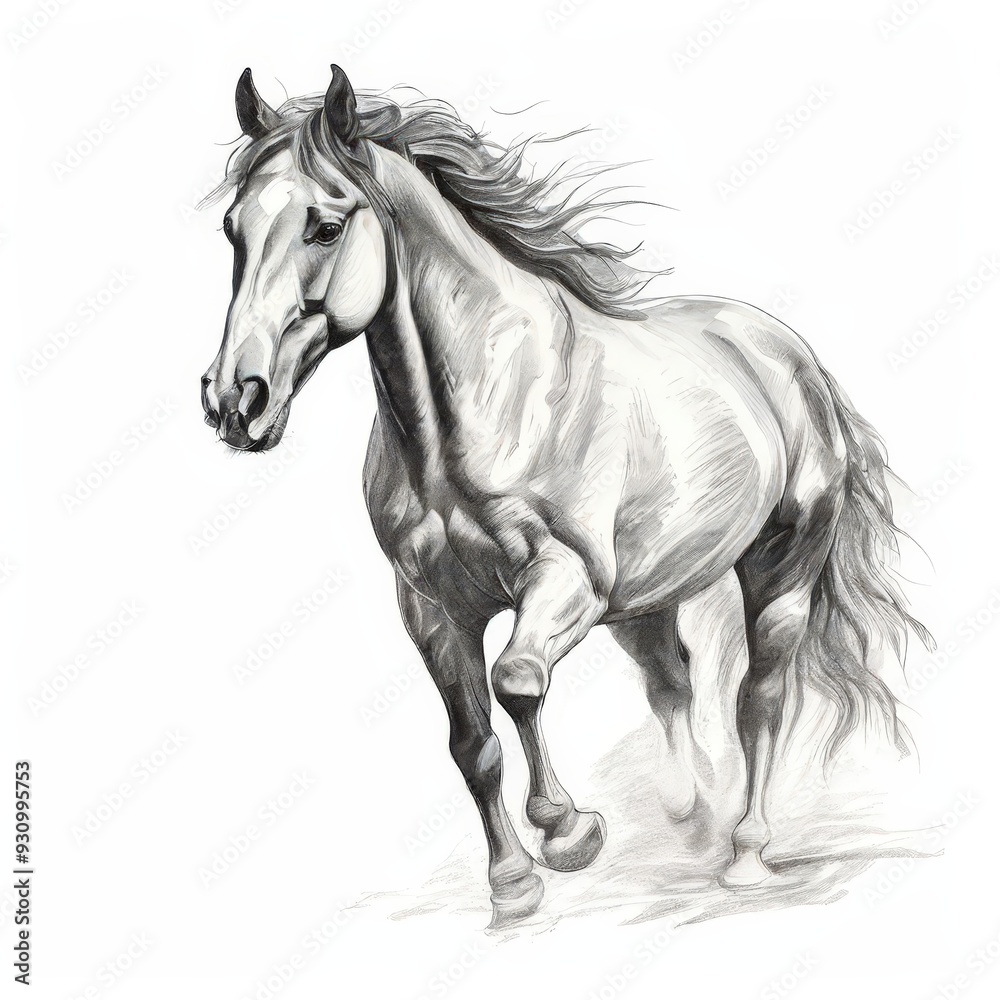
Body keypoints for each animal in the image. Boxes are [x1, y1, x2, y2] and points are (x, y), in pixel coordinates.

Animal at [200, 64, 931, 925]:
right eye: (233, 229)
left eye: (324, 226)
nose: (235, 400)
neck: (489, 403)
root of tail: (788, 356)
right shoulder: (432, 609)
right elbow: (471, 743)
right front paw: (513, 886)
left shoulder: (567, 581)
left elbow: (518, 682)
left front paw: (567, 831)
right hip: (646, 598)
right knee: (673, 680)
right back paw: (689, 814)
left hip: (779, 572)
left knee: (759, 697)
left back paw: (745, 854)